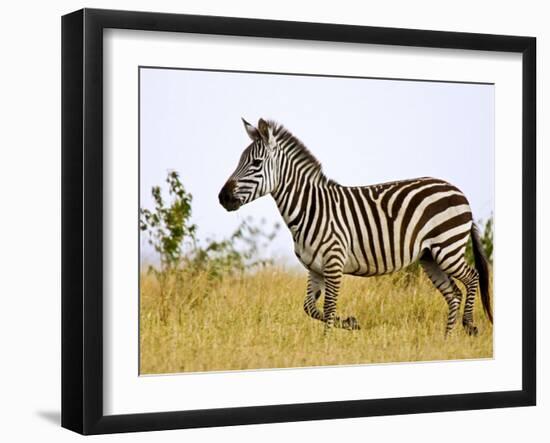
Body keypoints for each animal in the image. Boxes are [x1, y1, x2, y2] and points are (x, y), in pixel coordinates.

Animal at [218, 118, 494, 336]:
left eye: (255, 163)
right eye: (240, 160)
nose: (222, 197)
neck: (310, 207)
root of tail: (458, 191)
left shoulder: (334, 263)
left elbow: (328, 307)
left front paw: (326, 344)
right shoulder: (315, 268)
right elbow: (310, 308)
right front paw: (351, 323)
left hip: (447, 247)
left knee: (472, 277)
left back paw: (469, 326)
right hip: (430, 257)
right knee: (453, 293)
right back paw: (447, 339)